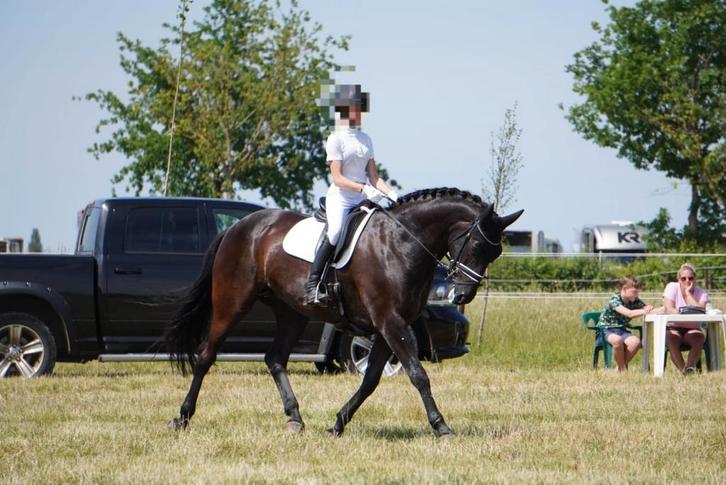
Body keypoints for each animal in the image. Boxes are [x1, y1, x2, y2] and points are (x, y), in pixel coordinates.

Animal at [166, 187, 523, 437]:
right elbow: (418, 375)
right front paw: (441, 426)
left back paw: (295, 418)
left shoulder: (389, 326)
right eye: (475, 244)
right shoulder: (391, 322)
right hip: (233, 301)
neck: (402, 243)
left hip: (292, 312)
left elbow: (371, 380)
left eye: (495, 252)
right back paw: (182, 417)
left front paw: (337, 423)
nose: (462, 294)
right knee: (206, 355)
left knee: (275, 359)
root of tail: (238, 227)